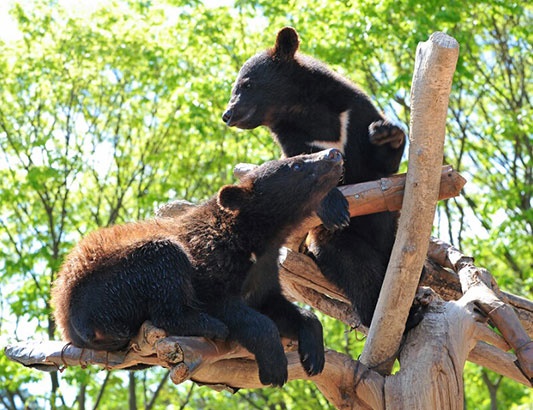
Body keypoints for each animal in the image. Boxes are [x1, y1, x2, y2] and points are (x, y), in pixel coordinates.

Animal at [52, 149, 342, 386]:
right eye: (296, 165)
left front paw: (313, 353)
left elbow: (278, 306)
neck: (255, 239)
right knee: (166, 265)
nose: (334, 154)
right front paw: (274, 365)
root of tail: (66, 318)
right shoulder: (211, 261)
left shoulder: (264, 272)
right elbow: (233, 308)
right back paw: (208, 325)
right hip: (110, 285)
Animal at [222, 27, 414, 330]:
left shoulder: (354, 111)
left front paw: (386, 132)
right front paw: (334, 207)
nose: (227, 114)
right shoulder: (293, 138)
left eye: (247, 85)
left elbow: (379, 165)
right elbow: (304, 174)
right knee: (360, 270)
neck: (301, 109)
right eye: (237, 87)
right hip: (330, 240)